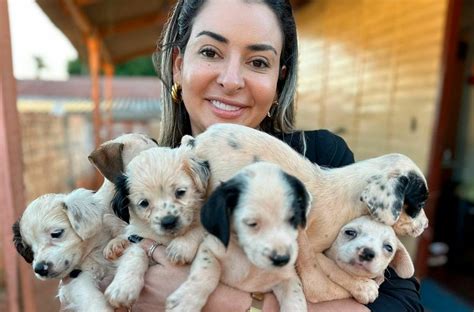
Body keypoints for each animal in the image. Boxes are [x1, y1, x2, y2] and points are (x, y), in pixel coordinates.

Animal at [104, 146, 210, 308]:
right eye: (144, 203)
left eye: (180, 192)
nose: (168, 221)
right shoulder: (139, 239)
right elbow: (135, 254)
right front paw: (123, 288)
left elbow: (197, 229)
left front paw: (181, 247)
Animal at [168, 163, 312, 312]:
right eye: (252, 223)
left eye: (293, 219)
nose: (282, 259)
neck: (249, 262)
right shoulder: (209, 248)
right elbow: (207, 271)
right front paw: (187, 299)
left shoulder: (288, 276)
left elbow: (295, 297)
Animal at [181, 123, 430, 302]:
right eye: (419, 203)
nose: (426, 225)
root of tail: (195, 141)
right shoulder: (316, 249)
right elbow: (336, 269)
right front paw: (363, 286)